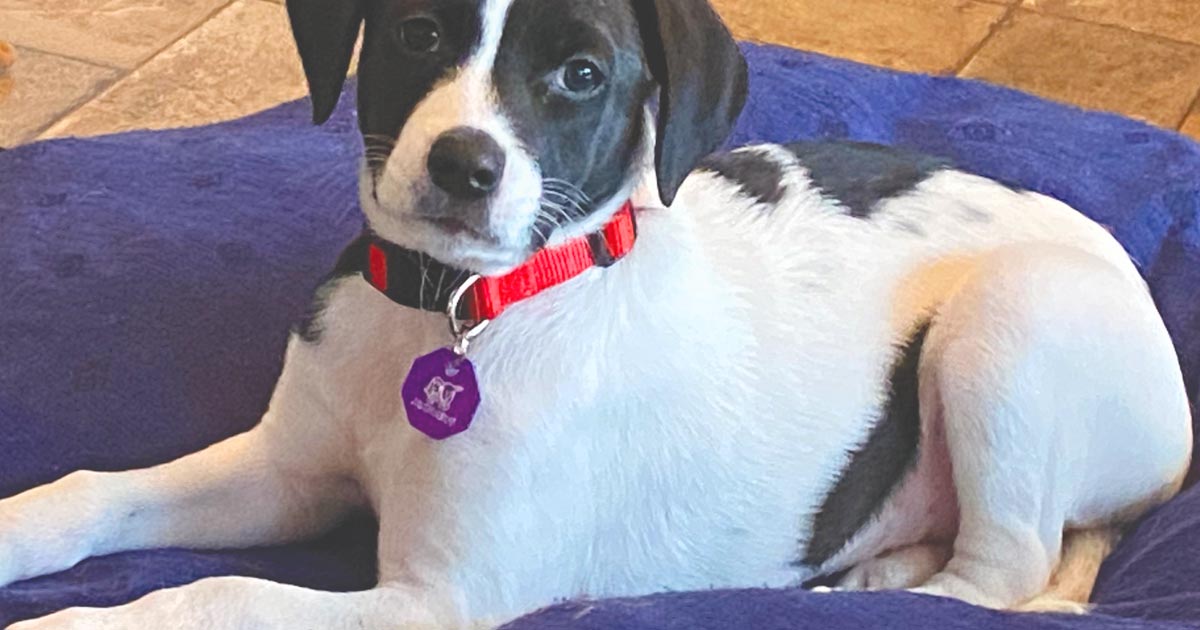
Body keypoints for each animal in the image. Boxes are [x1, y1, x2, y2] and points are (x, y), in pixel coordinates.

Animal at [7, 1, 1190, 628]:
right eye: (416, 32)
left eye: (581, 74)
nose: (465, 167)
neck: (464, 309)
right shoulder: (288, 473)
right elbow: (96, 494)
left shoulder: (434, 601)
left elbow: (217, 597)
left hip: (1008, 322)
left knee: (1007, 572)